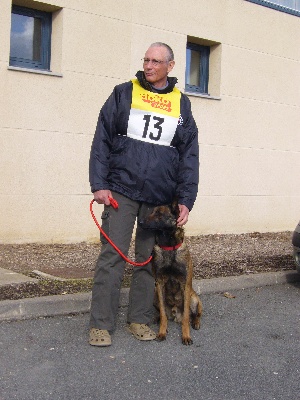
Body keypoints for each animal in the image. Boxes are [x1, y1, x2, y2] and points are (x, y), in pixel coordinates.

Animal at [140, 200, 202, 344]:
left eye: (159, 214)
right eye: (151, 212)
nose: (140, 222)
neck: (168, 247)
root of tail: (174, 312)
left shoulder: (185, 285)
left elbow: (186, 317)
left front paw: (186, 335)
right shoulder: (159, 284)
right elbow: (163, 314)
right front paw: (162, 332)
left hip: (194, 299)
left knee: (196, 314)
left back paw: (196, 322)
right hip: (155, 296)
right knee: (163, 313)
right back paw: (157, 318)